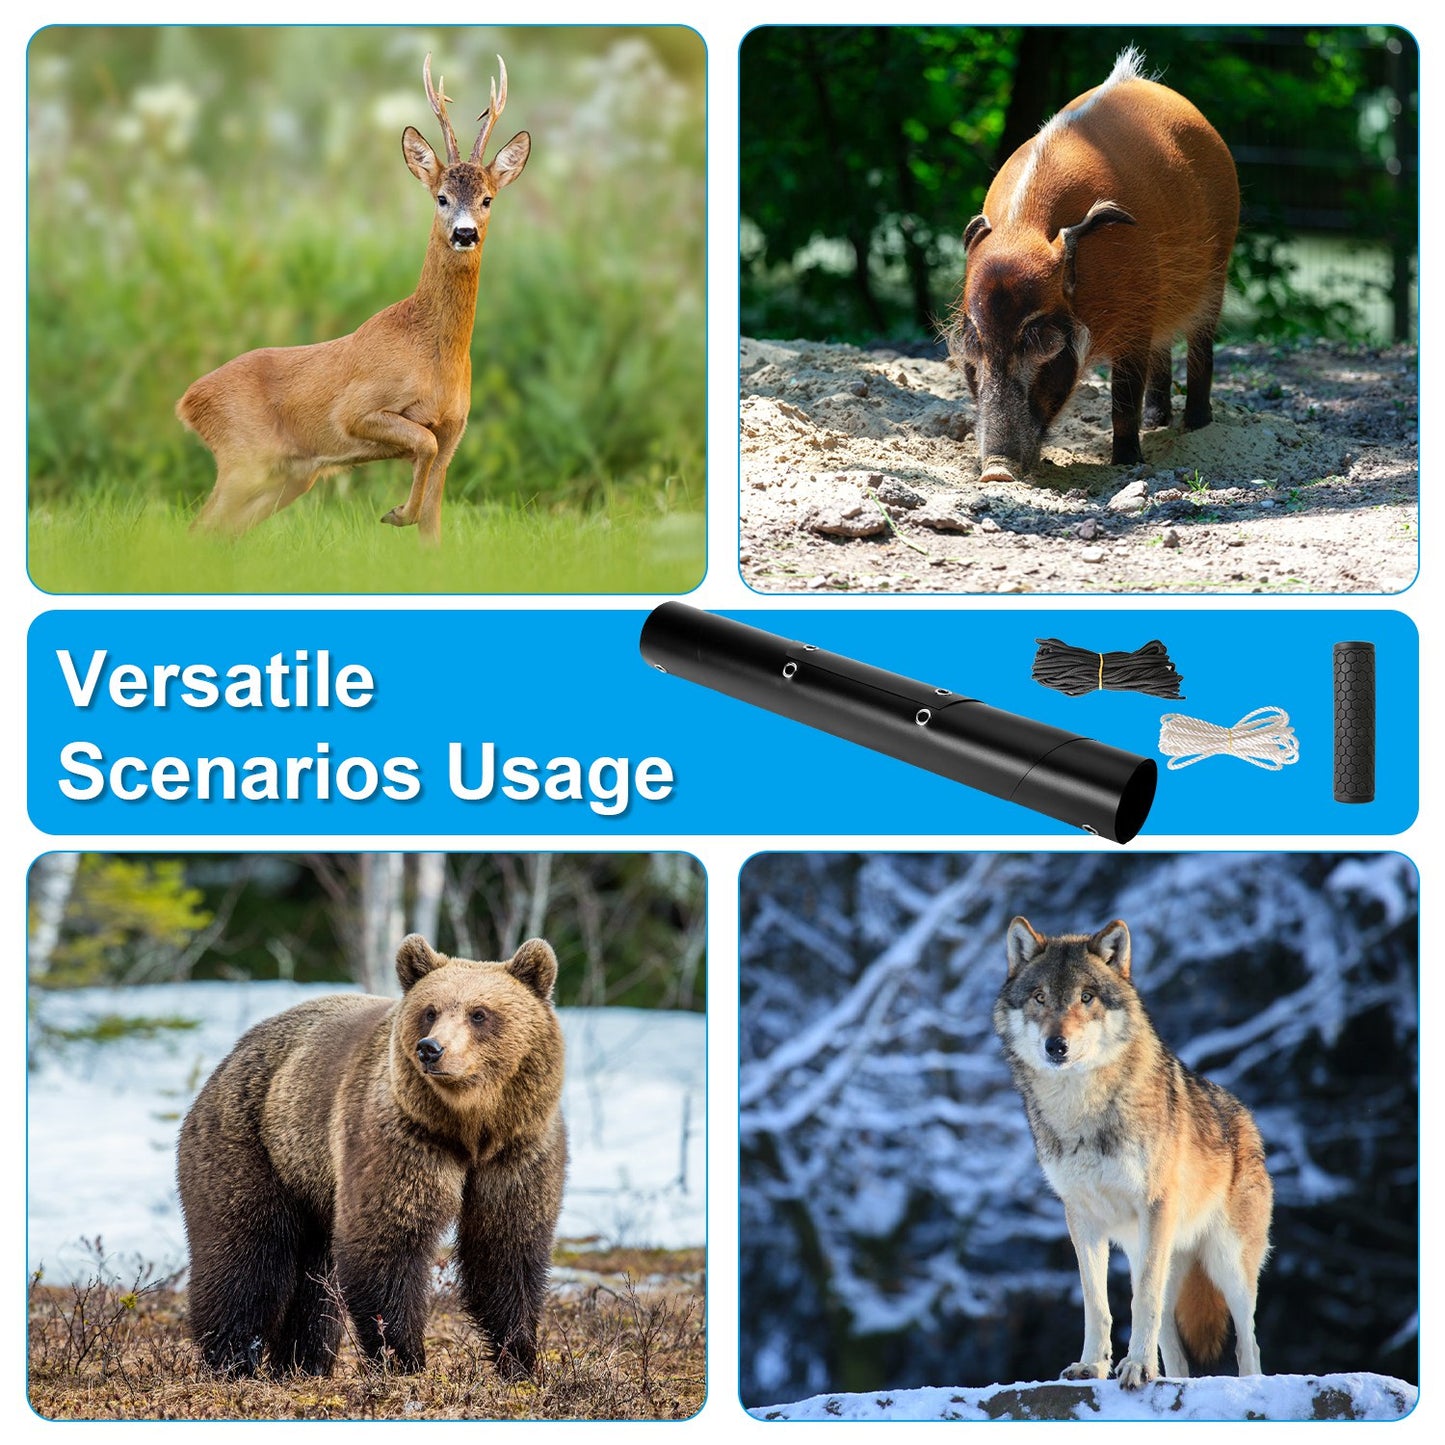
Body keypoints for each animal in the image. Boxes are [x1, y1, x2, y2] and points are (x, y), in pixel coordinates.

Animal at [177, 54, 530, 544]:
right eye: (441, 197)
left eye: (488, 199)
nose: (464, 233)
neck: (434, 355)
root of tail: (188, 401)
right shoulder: (356, 409)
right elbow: (422, 444)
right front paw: (397, 512)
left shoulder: (454, 432)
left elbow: (433, 527)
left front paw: (409, 518)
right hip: (243, 459)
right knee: (197, 528)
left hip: (288, 476)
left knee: (216, 533)